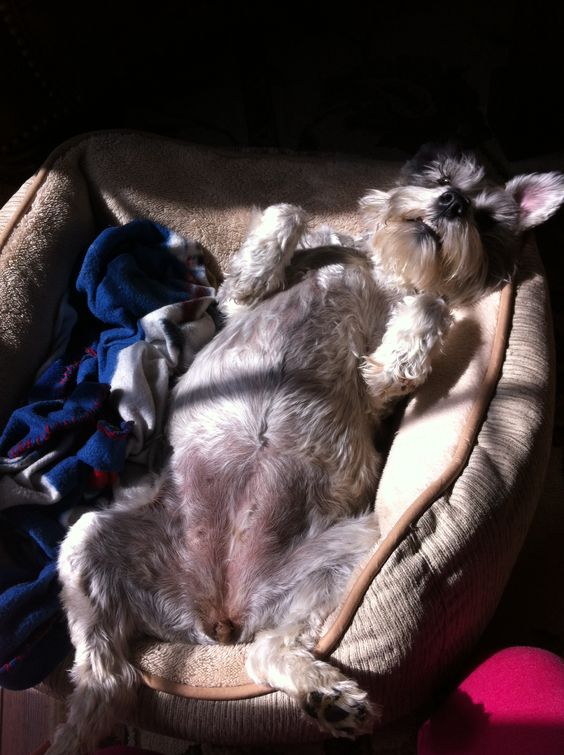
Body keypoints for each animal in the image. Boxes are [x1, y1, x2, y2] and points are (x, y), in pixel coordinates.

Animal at [46, 145, 564, 752]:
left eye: (486, 220)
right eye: (439, 176)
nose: (452, 202)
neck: (387, 269)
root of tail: (220, 610)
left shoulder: (384, 393)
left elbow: (427, 314)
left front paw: (388, 361)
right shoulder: (238, 301)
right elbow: (286, 216)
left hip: (353, 557)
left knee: (258, 653)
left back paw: (327, 697)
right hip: (90, 544)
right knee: (106, 676)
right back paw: (75, 732)